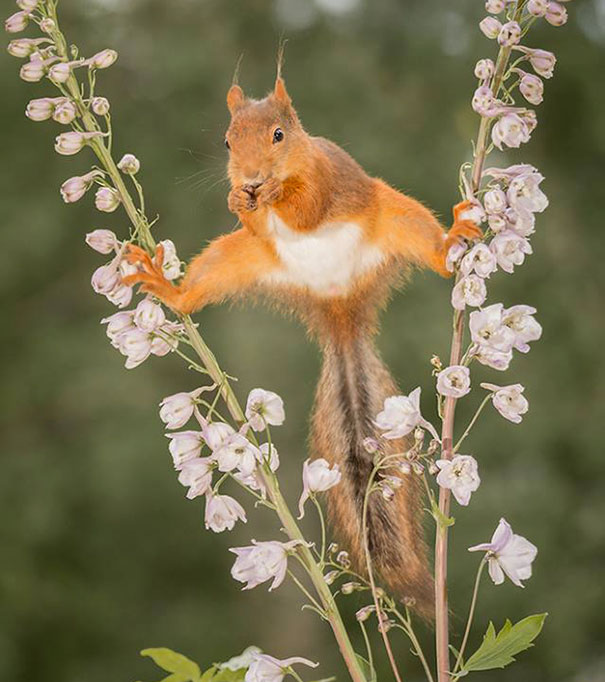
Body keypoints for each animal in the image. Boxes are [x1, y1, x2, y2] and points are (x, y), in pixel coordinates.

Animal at [122, 70, 482, 616]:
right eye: (227, 141)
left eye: (278, 135)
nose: (250, 178)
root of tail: (337, 303)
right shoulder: (252, 226)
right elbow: (250, 216)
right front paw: (238, 198)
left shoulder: (324, 178)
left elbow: (307, 206)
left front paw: (274, 190)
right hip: (236, 257)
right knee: (196, 291)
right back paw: (170, 289)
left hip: (398, 215)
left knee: (434, 251)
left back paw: (454, 238)